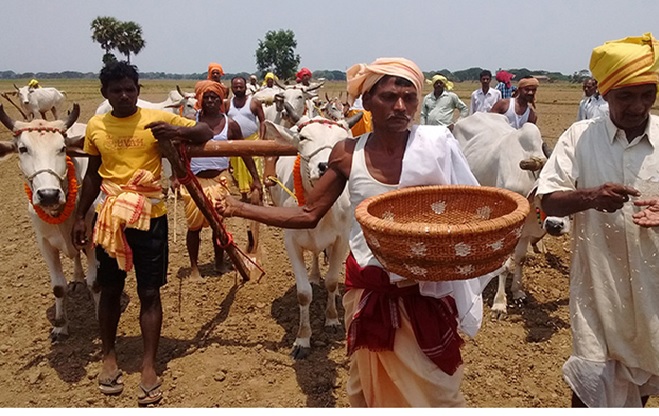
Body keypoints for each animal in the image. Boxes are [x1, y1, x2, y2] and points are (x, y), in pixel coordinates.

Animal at [0, 104, 99, 342]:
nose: (48, 195)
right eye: (23, 148)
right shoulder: (45, 244)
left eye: (62, 148)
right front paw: (60, 326)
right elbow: (58, 287)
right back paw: (77, 278)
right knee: (75, 258)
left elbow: (95, 283)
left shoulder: (91, 237)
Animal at [264, 113, 360, 358]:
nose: (325, 166)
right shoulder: (291, 242)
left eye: (344, 142)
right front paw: (303, 339)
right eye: (304, 137)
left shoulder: (341, 240)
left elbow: (332, 282)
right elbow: (304, 294)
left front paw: (332, 319)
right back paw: (315, 276)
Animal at [454, 112, 572, 316]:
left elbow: (520, 260)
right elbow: (505, 265)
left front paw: (517, 291)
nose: (555, 226)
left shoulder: (525, 232)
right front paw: (500, 303)